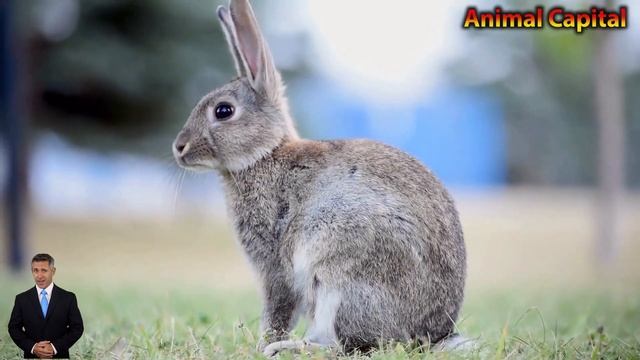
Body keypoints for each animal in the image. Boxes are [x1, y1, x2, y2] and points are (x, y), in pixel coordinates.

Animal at [172, 0, 468, 354]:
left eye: (223, 111)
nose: (178, 147)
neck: (265, 154)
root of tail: (430, 334)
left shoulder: (275, 265)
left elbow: (278, 307)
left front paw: (263, 345)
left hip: (338, 275)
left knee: (345, 345)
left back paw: (289, 348)